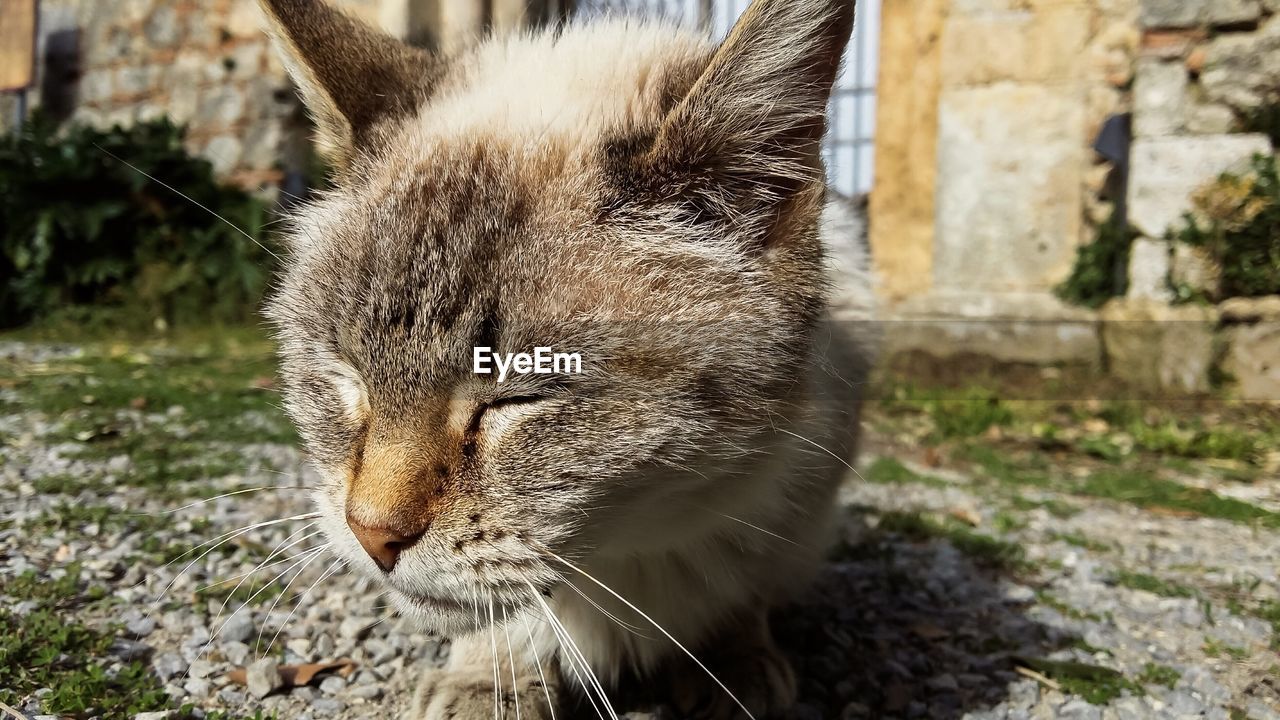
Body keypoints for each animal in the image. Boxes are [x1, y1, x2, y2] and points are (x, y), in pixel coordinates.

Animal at [263, 1, 875, 712]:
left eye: (518, 395)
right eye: (347, 376)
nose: (371, 536)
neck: (630, 556)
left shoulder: (793, 494)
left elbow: (743, 581)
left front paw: (734, 661)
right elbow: (509, 610)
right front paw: (490, 678)